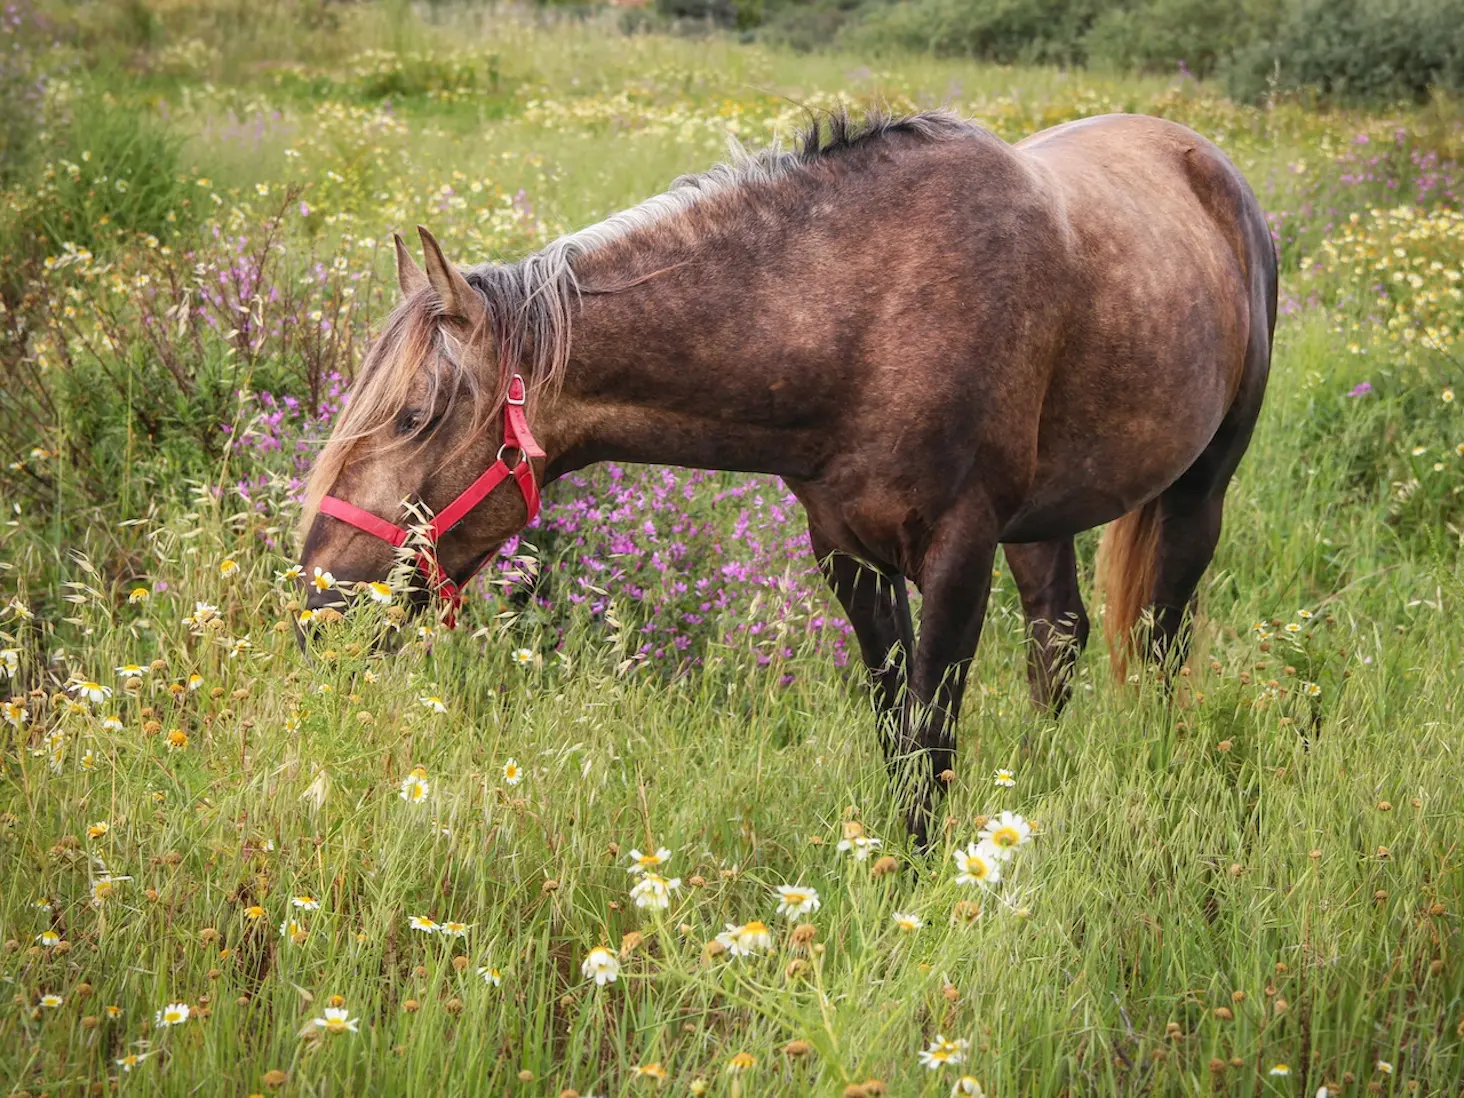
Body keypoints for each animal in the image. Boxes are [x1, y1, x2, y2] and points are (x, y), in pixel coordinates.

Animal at [300, 107, 1282, 849]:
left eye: (414, 416)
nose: (317, 600)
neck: (869, 312)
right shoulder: (848, 553)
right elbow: (895, 726)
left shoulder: (959, 552)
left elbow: (930, 734)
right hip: (1046, 518)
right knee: (1061, 635)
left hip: (1200, 492)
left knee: (1160, 641)